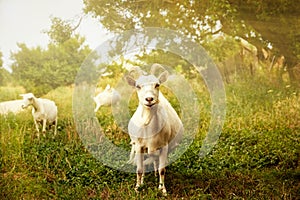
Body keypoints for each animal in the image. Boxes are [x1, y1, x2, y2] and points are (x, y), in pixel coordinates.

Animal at [125, 64, 183, 195]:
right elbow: (139, 169)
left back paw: (156, 175)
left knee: (157, 161)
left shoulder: (164, 146)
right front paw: (138, 188)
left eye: (157, 84)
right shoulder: (139, 146)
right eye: (138, 86)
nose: (149, 99)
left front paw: (163, 190)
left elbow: (162, 169)